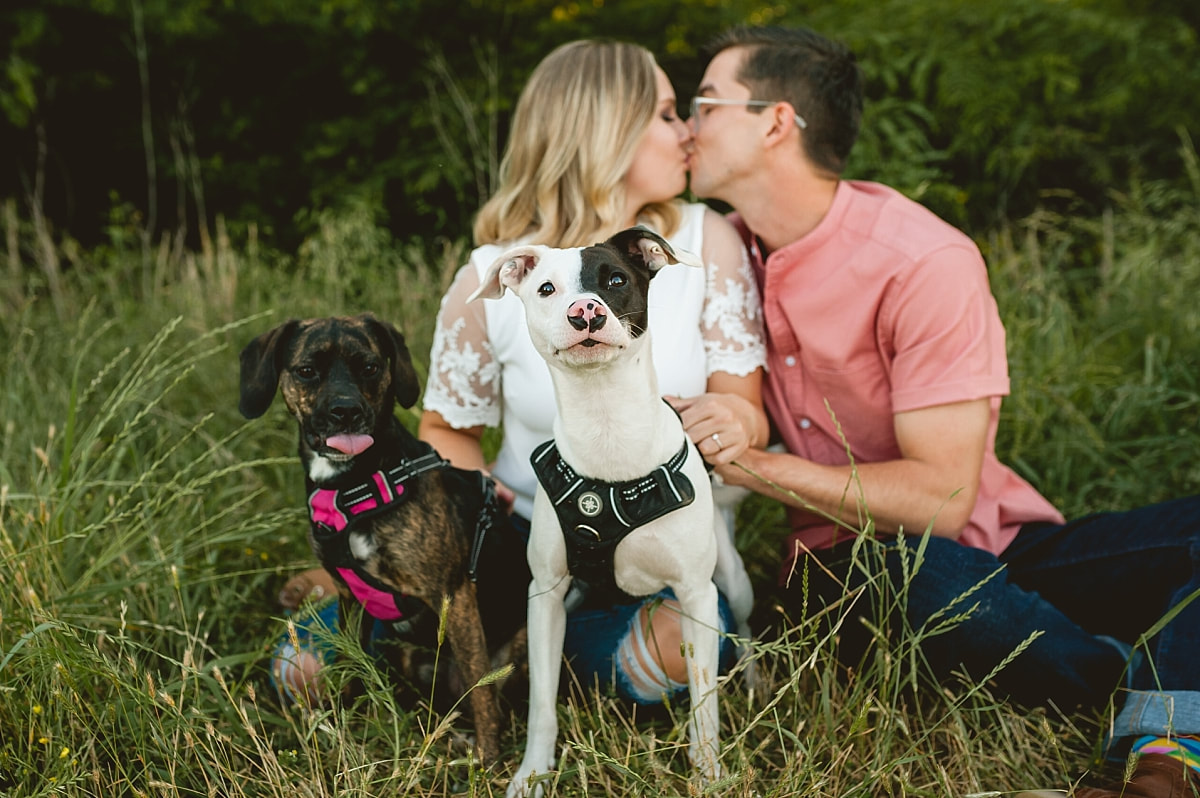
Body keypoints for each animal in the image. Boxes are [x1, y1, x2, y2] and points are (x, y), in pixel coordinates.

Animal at [238, 309, 530, 758]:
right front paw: (345, 725)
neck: (353, 485)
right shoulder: (350, 597)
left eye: (370, 367)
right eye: (307, 371)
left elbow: (481, 694)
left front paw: (490, 760)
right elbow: (348, 665)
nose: (346, 411)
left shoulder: (455, 596)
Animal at [465, 225, 748, 796]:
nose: (585, 312)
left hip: (733, 581)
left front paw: (708, 772)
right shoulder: (546, 597)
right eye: (546, 289)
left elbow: (704, 702)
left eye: (615, 280)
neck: (608, 432)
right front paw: (532, 773)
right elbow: (542, 702)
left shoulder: (697, 596)